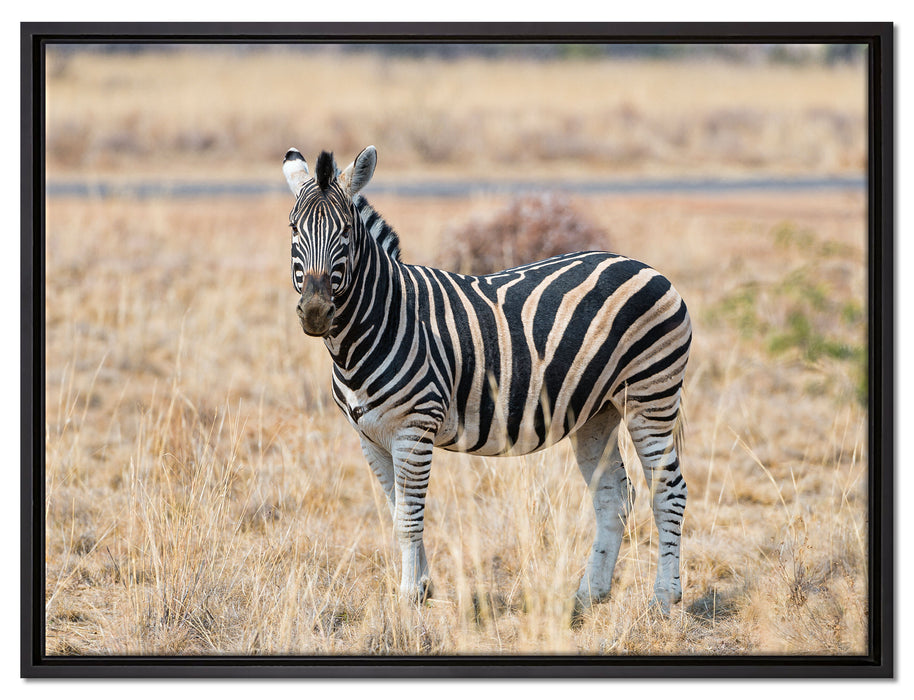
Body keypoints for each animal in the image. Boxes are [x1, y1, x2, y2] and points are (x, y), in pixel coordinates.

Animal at [282, 145, 691, 616]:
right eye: (293, 228)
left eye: (346, 232)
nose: (316, 312)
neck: (378, 323)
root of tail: (647, 268)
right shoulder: (369, 436)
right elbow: (398, 512)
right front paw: (422, 588)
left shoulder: (414, 429)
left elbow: (410, 518)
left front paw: (409, 598)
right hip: (597, 413)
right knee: (613, 499)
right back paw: (588, 595)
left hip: (650, 397)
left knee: (669, 492)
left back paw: (664, 598)